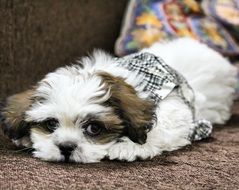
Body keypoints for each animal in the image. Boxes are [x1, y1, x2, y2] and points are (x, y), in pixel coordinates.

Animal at [0, 37, 237, 163]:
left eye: (94, 128)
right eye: (51, 124)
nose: (66, 147)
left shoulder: (176, 105)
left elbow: (162, 126)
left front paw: (128, 147)